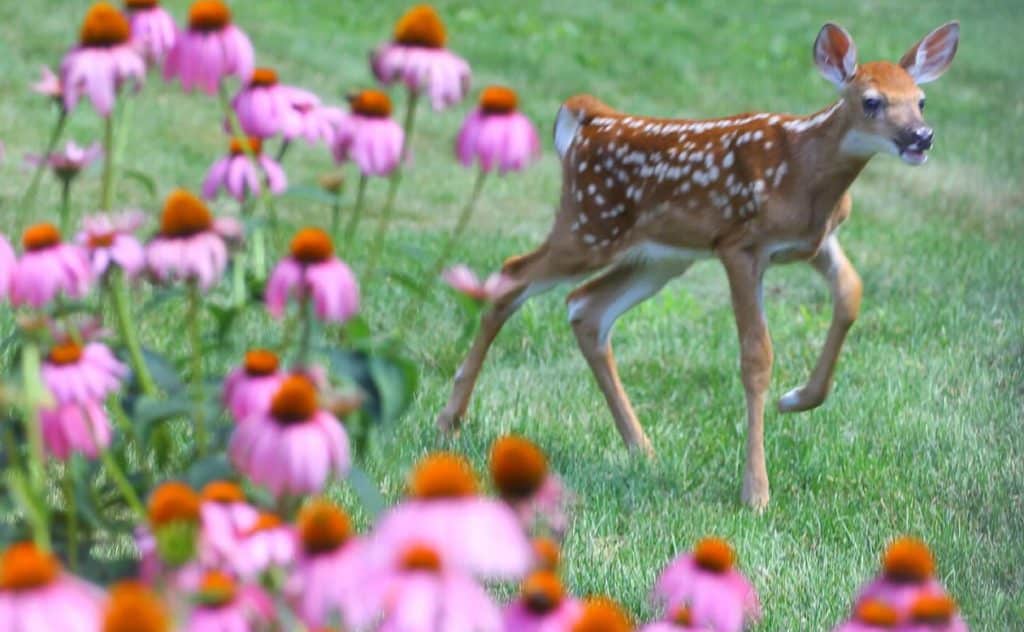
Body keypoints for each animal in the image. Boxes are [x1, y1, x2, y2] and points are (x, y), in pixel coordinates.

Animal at [434, 22, 958, 510]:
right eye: (871, 101)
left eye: (921, 100)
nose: (922, 137)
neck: (805, 173)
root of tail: (590, 122)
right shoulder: (739, 245)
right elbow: (756, 356)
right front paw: (756, 492)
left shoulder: (816, 242)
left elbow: (851, 294)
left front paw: (798, 399)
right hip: (587, 226)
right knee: (512, 275)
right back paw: (450, 420)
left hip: (660, 257)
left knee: (586, 308)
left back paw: (641, 448)